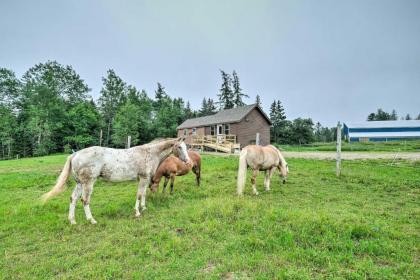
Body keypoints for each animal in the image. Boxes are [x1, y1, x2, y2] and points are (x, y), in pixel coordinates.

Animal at [41, 138, 190, 225]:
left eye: (186, 147)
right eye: (179, 147)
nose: (188, 161)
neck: (149, 153)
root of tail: (75, 154)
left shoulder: (145, 179)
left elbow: (143, 194)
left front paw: (144, 208)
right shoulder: (143, 178)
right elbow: (139, 195)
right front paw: (137, 212)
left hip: (79, 183)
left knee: (73, 199)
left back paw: (72, 221)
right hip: (88, 183)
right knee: (85, 200)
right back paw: (91, 220)